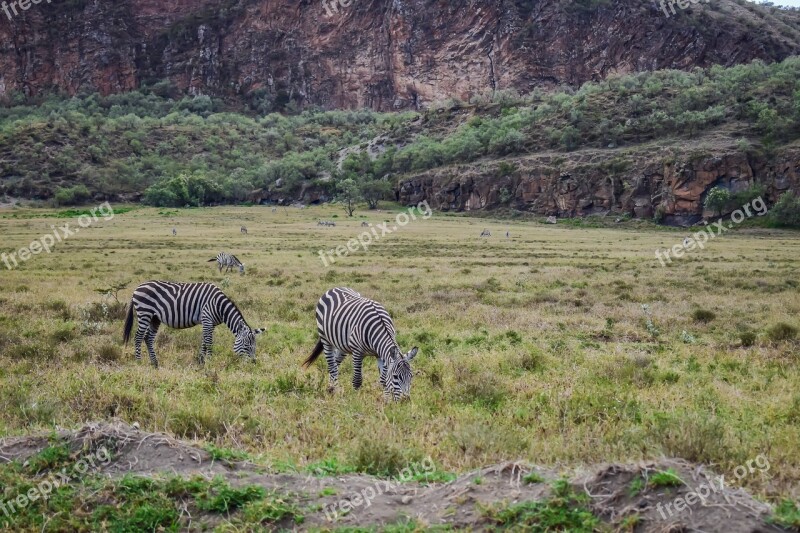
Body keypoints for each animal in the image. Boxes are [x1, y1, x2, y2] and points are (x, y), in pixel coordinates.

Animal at [122, 282, 266, 366]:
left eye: (255, 346)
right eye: (247, 346)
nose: (254, 363)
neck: (219, 305)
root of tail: (137, 288)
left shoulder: (209, 323)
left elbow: (204, 342)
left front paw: (201, 361)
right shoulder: (207, 319)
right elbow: (209, 342)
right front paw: (210, 362)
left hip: (154, 318)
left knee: (148, 338)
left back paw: (155, 363)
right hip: (145, 313)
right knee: (138, 337)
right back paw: (139, 361)